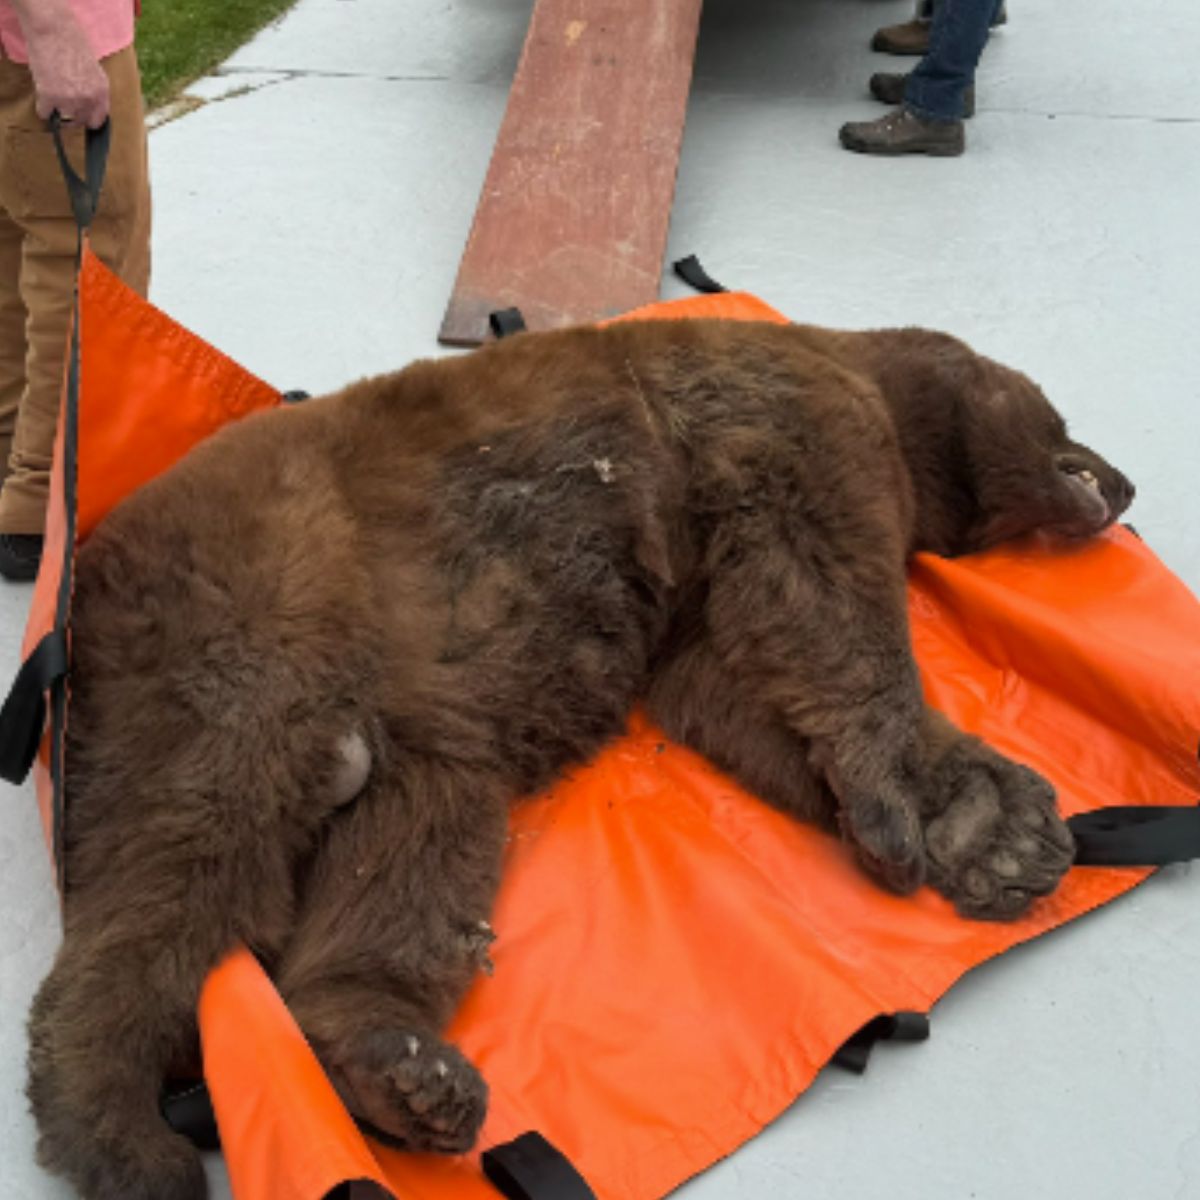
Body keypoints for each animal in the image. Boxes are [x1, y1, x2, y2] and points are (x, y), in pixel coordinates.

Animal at [30, 319, 1132, 1200]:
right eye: (1061, 416)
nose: (1122, 481)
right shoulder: (786, 414)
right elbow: (823, 586)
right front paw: (983, 814)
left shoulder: (694, 594)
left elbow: (740, 684)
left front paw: (975, 833)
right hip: (261, 612)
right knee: (187, 863)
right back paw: (120, 1134)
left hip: (409, 731)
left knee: (410, 855)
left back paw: (398, 1066)